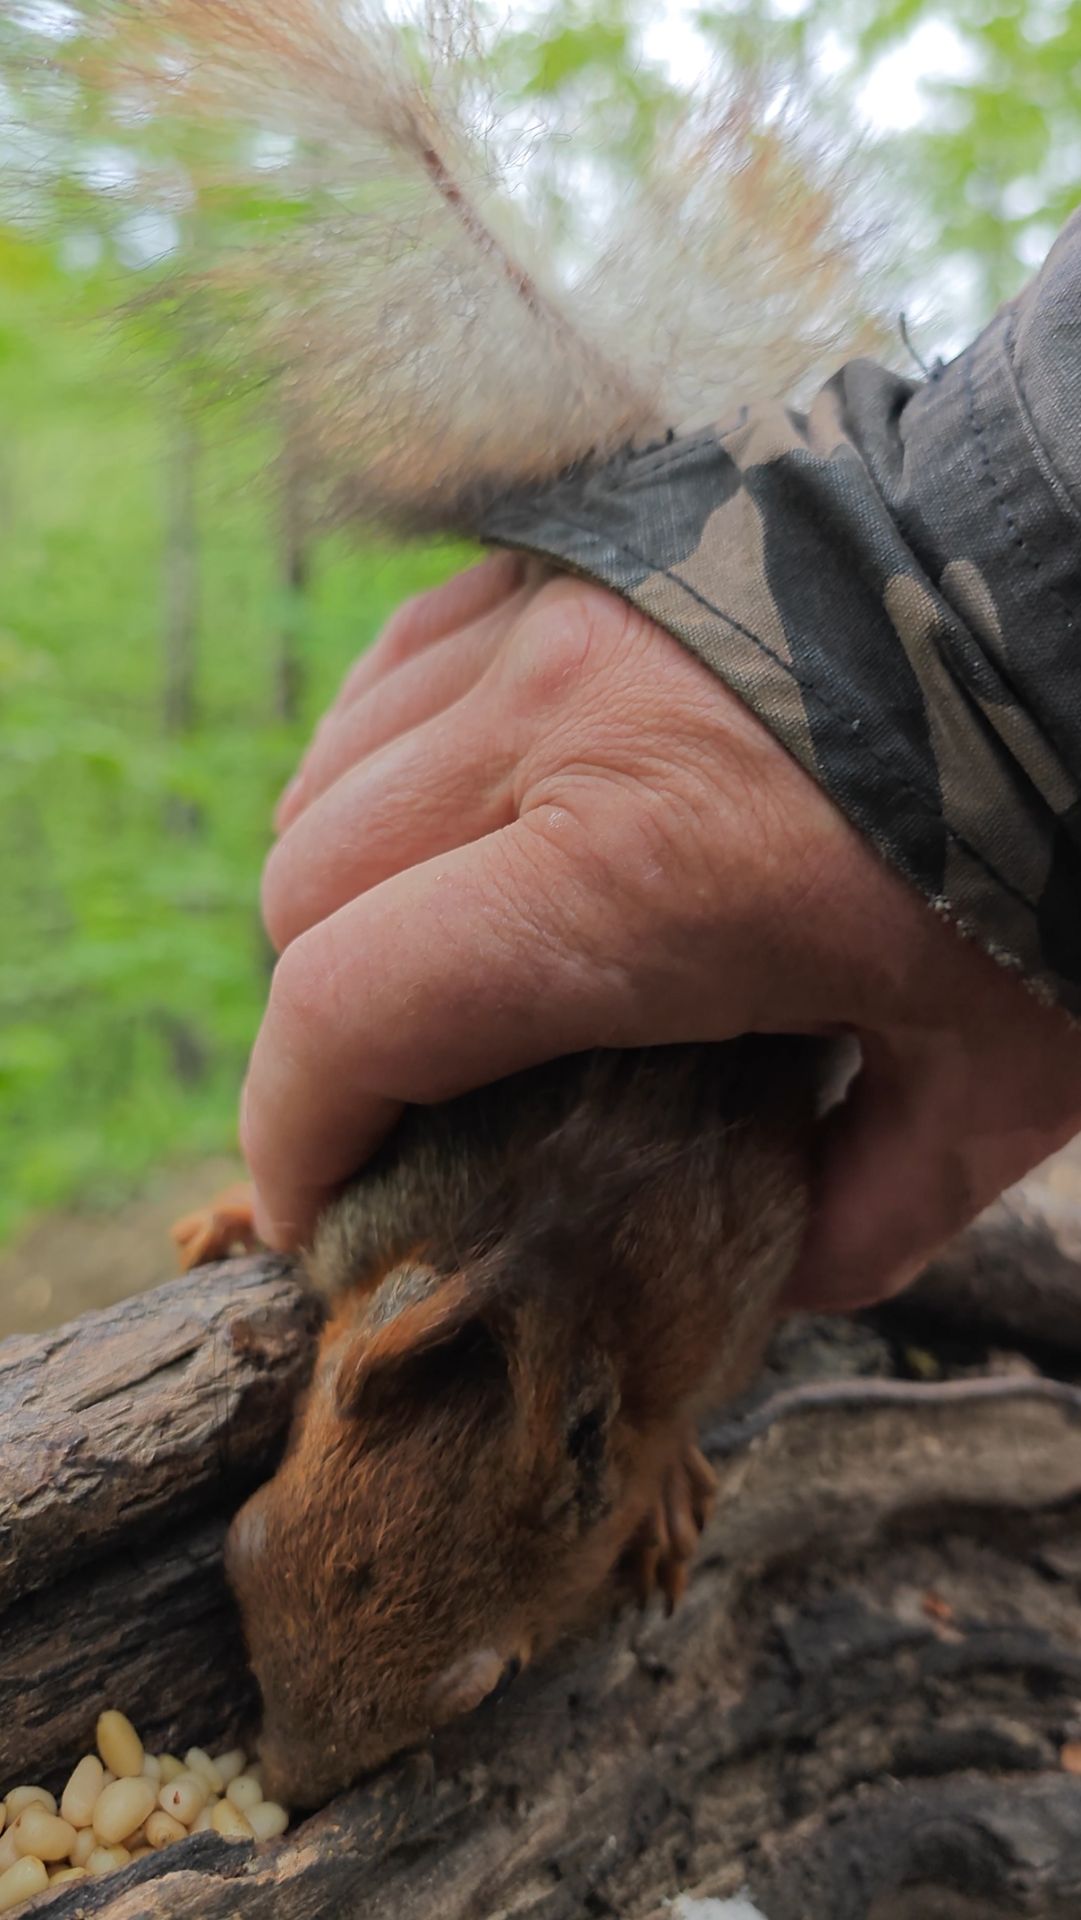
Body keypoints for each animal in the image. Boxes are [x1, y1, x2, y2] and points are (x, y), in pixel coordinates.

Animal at [50, 0, 889, 1809]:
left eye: (469, 1688)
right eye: (241, 1558)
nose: (293, 1780)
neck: (546, 1267)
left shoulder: (726, 1281)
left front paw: (668, 1491)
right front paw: (237, 1220)